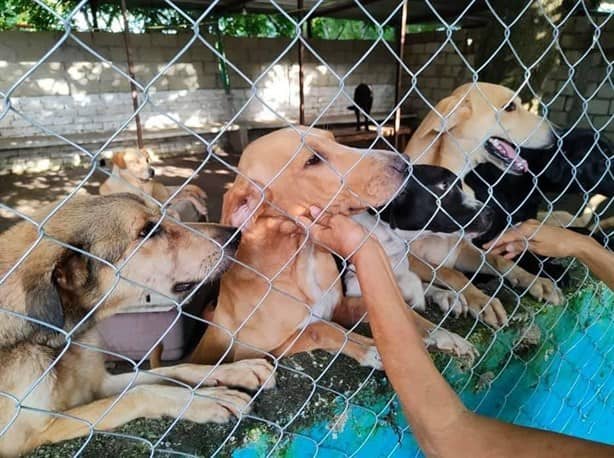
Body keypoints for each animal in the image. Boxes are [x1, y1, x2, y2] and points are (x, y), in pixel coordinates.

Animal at [0, 194, 274, 458]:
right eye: (147, 231)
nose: (236, 234)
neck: (58, 344)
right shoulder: (33, 433)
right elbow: (141, 392)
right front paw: (207, 399)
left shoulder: (99, 384)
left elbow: (172, 370)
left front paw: (236, 370)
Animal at [190, 125, 478, 368]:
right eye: (312, 160)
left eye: (333, 139)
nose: (404, 161)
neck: (301, 261)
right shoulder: (256, 350)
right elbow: (322, 328)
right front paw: (370, 348)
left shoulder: (341, 304)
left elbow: (385, 309)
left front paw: (440, 333)